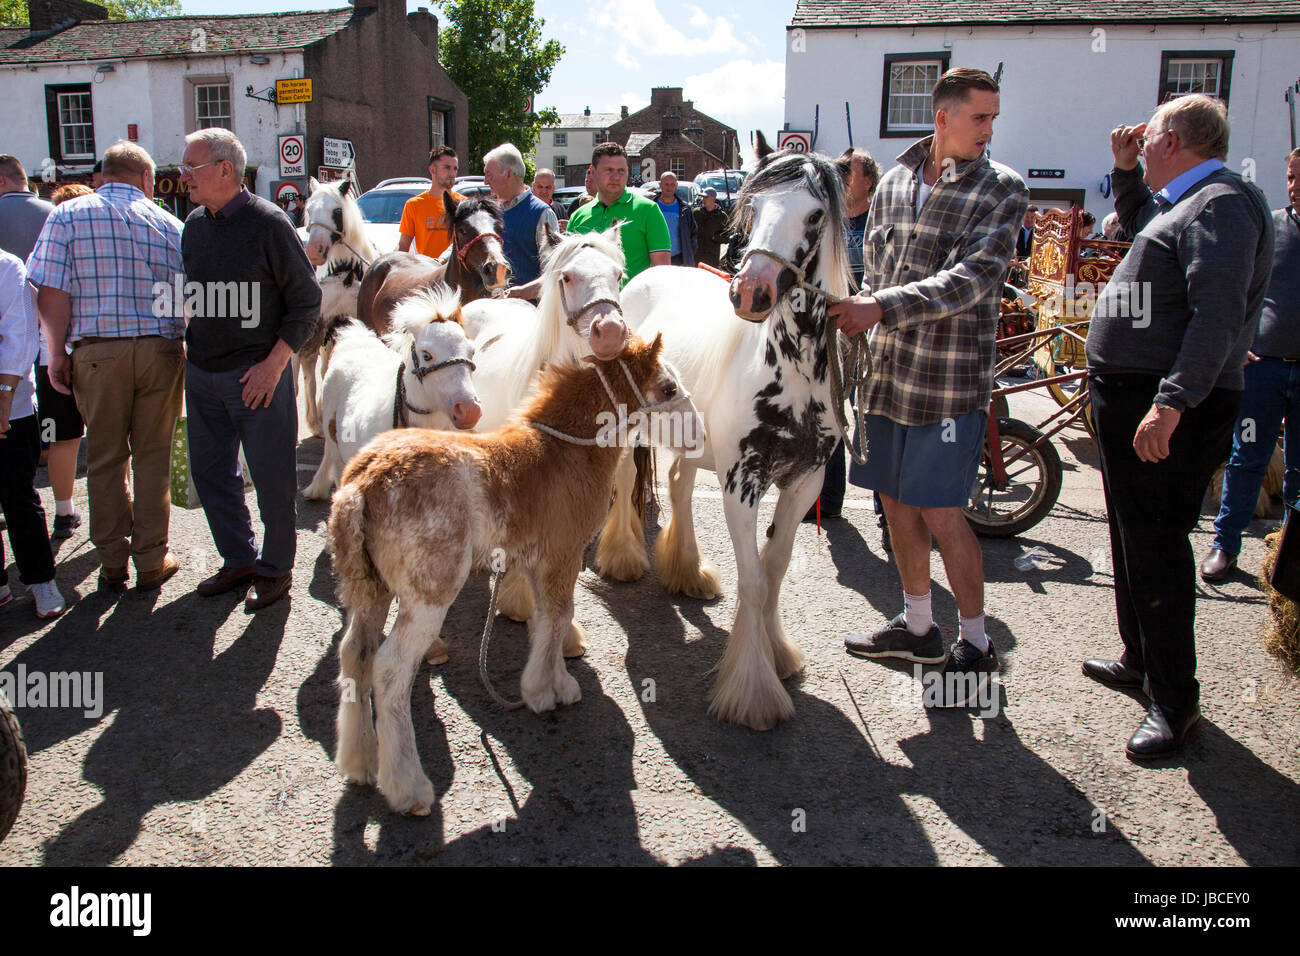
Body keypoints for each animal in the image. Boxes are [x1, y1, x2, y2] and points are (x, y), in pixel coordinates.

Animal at [595, 143, 852, 733]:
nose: (751, 291)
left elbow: (775, 569)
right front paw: (753, 691)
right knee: (626, 477)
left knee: (679, 485)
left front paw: (777, 654)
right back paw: (623, 558)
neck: (792, 371)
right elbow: (753, 580)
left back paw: (687, 571)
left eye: (815, 215)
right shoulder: (742, 486)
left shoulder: (805, 483)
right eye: (753, 209)